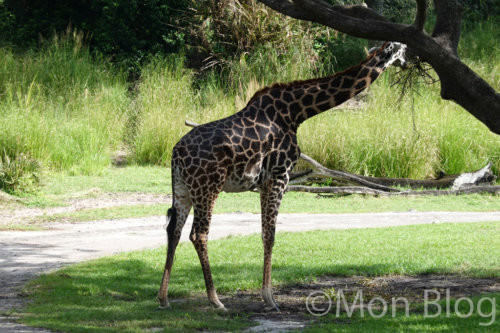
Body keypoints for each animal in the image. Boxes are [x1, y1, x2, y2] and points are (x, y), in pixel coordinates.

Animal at [158, 40, 408, 308]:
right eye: (402, 50)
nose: (407, 62)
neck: (297, 112)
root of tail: (176, 152)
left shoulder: (264, 182)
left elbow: (264, 232)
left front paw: (266, 295)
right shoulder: (280, 175)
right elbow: (271, 234)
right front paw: (270, 298)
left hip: (182, 188)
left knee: (174, 230)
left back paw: (163, 298)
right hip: (208, 187)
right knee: (199, 234)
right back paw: (216, 300)